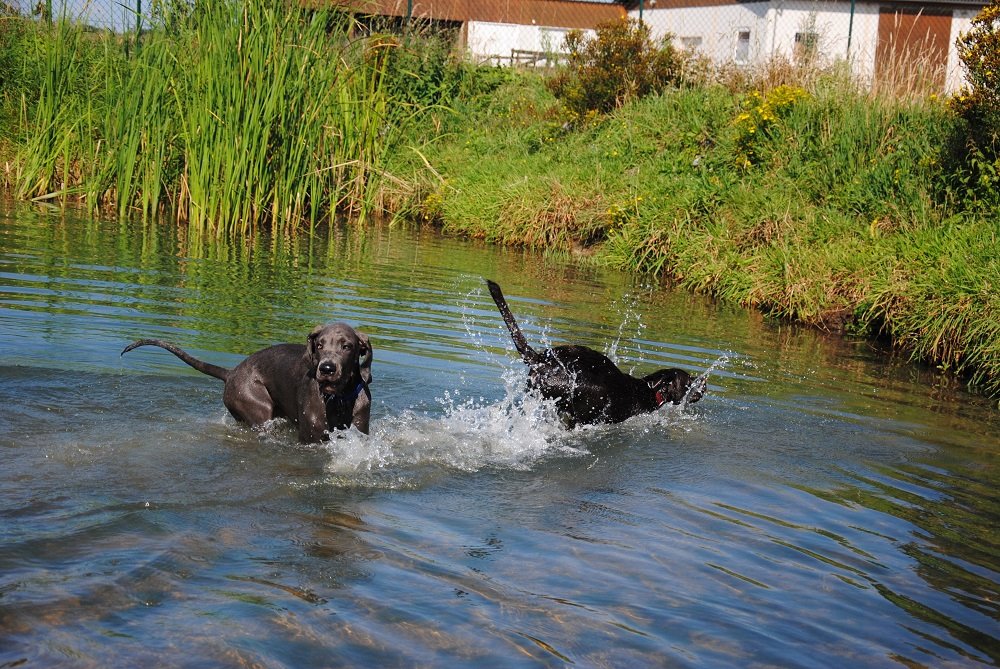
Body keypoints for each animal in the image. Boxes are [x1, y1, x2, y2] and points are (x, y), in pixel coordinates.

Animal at [121, 320, 372, 440]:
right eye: (319, 345)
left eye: (347, 346)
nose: (327, 368)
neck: (338, 400)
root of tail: (231, 372)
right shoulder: (311, 439)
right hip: (255, 406)